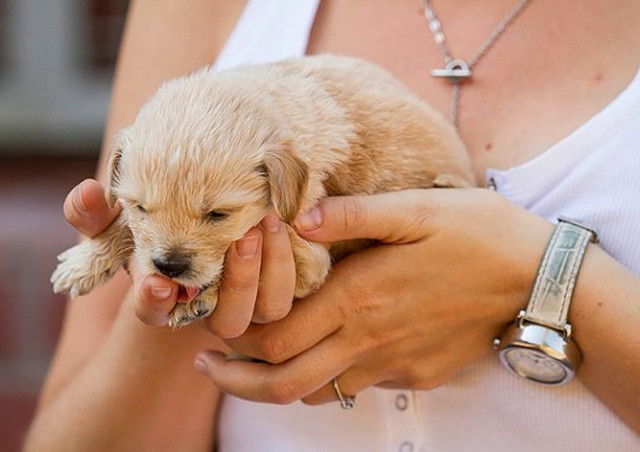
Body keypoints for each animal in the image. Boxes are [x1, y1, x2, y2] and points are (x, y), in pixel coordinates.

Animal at [51, 54, 476, 326]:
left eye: (218, 214)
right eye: (140, 207)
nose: (168, 267)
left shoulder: (311, 254)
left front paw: (204, 295)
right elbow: (125, 229)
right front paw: (85, 260)